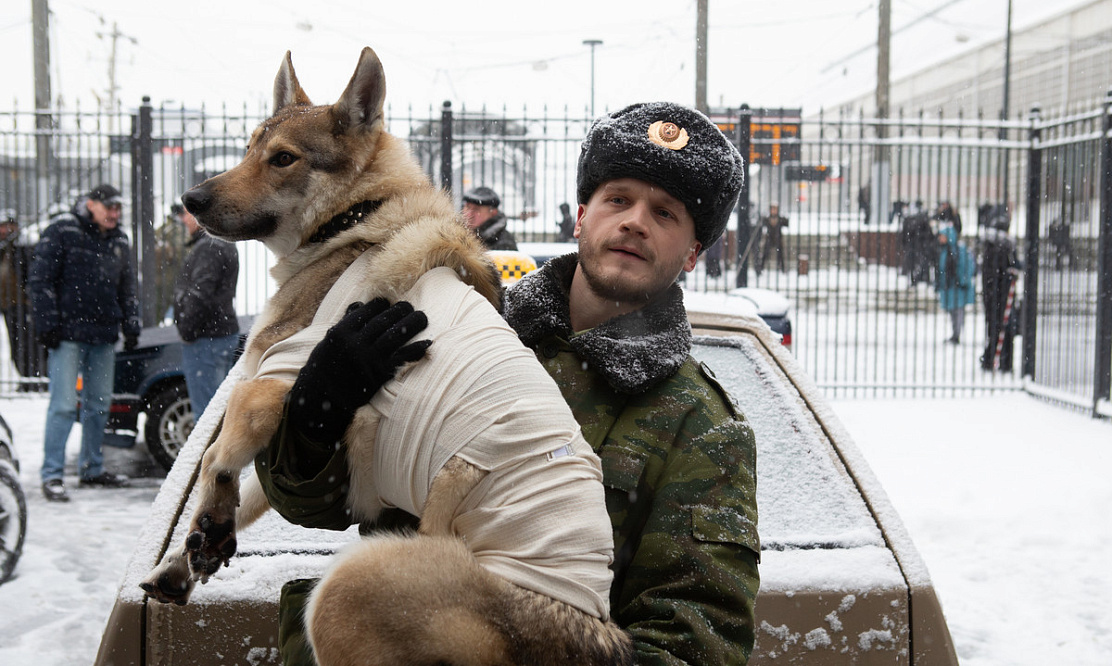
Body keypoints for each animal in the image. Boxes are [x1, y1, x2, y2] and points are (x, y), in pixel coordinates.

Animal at [141, 48, 636, 666]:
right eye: (250, 145)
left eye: (283, 159)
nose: (191, 199)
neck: (352, 222)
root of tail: (587, 627)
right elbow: (254, 495)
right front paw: (184, 560)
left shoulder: (273, 384)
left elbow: (215, 461)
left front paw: (209, 523)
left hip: (341, 591)